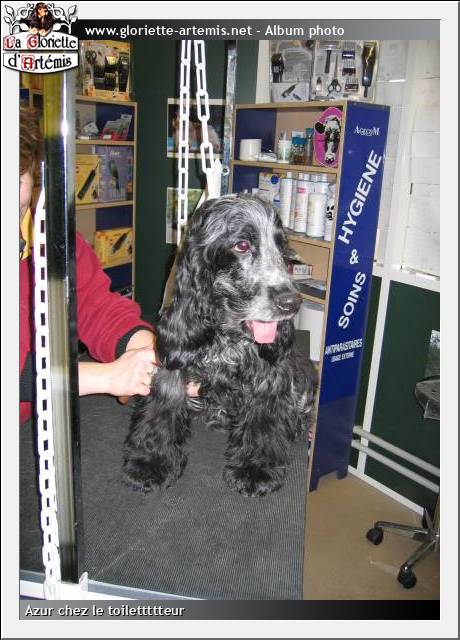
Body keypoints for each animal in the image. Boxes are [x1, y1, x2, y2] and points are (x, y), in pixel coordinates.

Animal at [123, 195, 317, 497]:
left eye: (282, 247)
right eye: (242, 245)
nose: (291, 303)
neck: (228, 337)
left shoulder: (270, 375)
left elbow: (264, 419)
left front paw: (256, 469)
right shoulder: (171, 364)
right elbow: (162, 411)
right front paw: (151, 462)